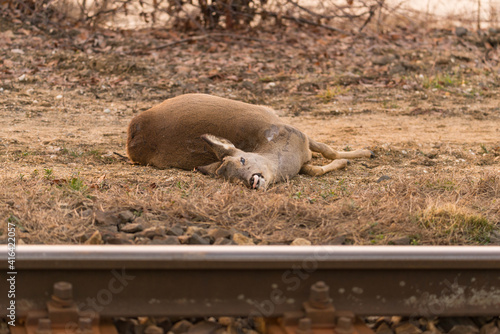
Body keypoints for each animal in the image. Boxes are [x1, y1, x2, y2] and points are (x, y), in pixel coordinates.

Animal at [127, 94, 374, 189]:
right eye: (229, 178)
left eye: (243, 160)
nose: (252, 181)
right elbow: (317, 168)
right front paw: (351, 159)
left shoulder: (300, 133)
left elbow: (328, 150)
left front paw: (365, 152)